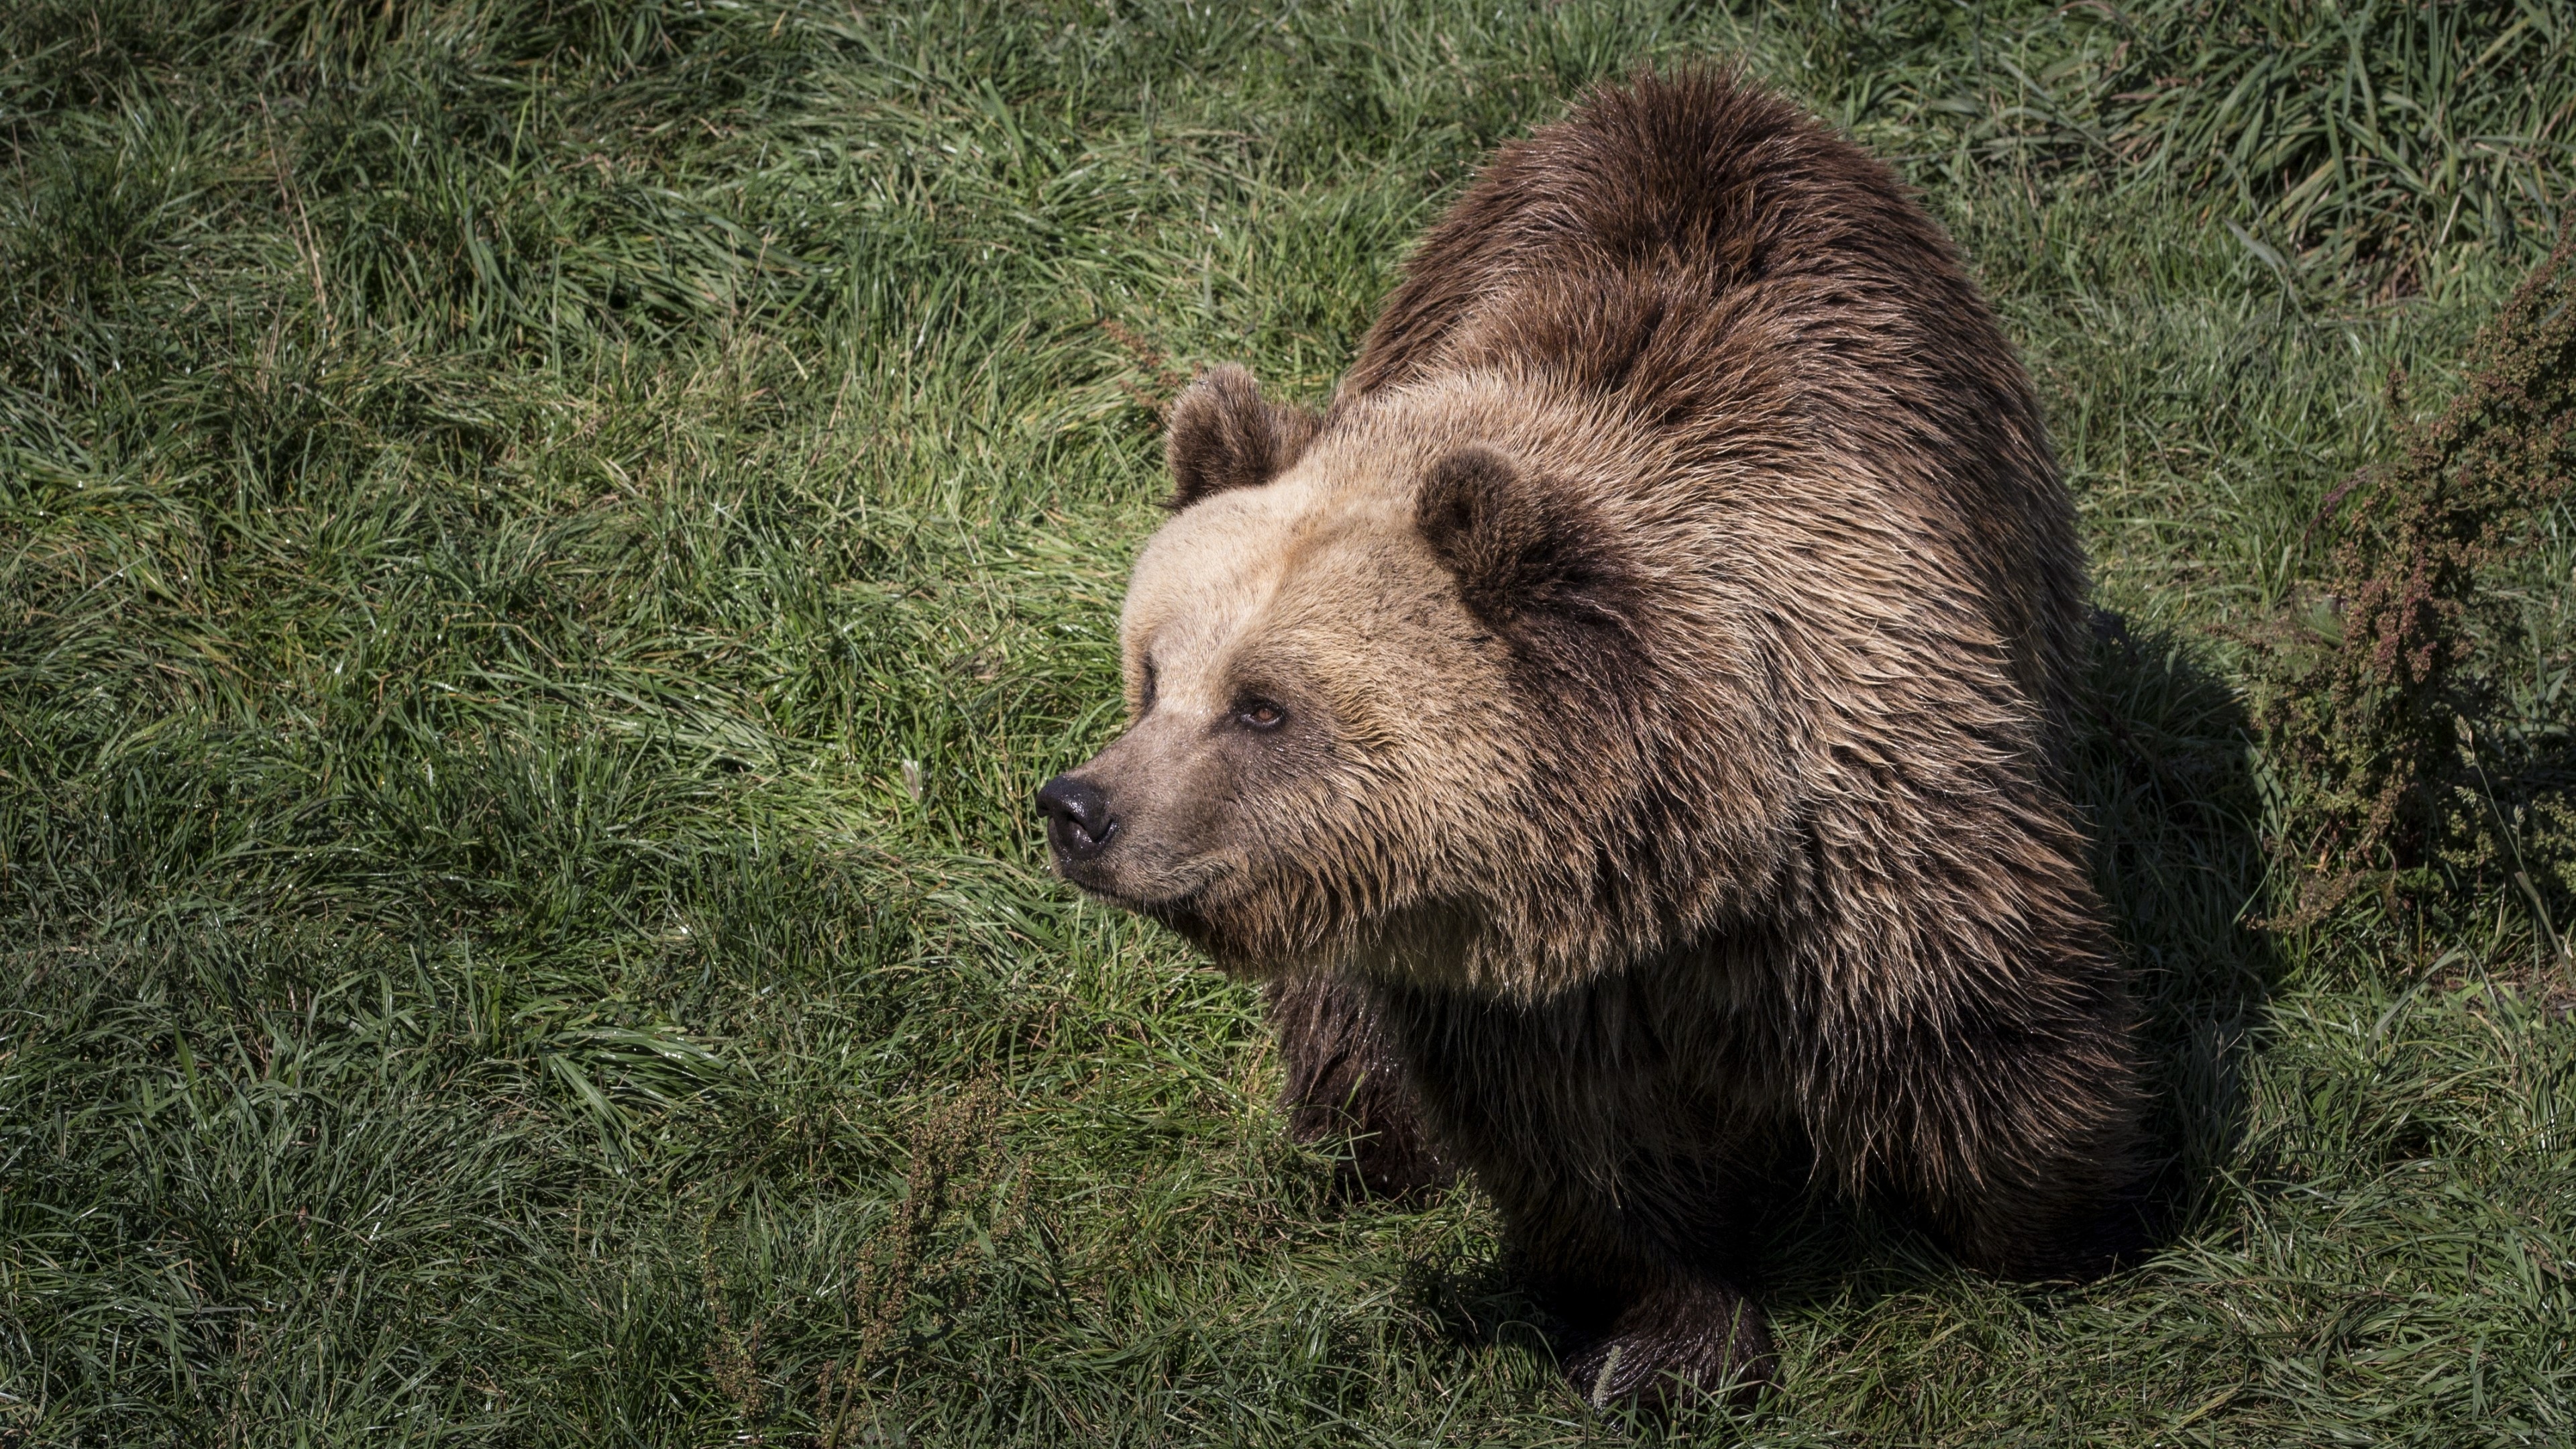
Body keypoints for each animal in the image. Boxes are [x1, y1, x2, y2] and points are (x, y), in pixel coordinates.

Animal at [1037, 67, 2144, 1411]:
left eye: (1263, 704)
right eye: (1155, 675)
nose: (1080, 808)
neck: (1670, 861)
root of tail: (1698, 86)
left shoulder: (1868, 833)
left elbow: (1984, 1030)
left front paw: (2070, 1225)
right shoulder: (1511, 987)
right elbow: (1586, 1160)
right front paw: (1667, 1343)